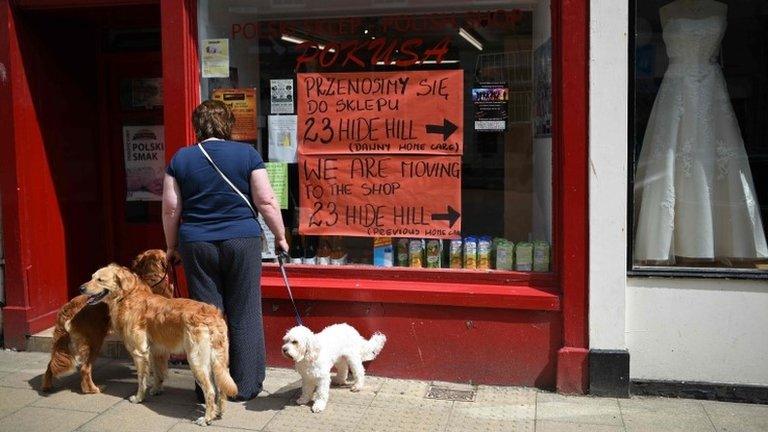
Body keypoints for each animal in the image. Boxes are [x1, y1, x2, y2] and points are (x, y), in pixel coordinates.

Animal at [43, 250, 174, 394]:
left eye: (99, 279)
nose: (81, 288)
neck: (152, 275)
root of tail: (70, 306)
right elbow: (159, 363)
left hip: (70, 344)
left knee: (51, 364)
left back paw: (47, 386)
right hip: (94, 341)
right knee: (85, 368)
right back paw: (93, 389)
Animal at [80, 264, 237, 426]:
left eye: (100, 279)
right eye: (91, 277)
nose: (81, 288)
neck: (128, 296)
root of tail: (211, 314)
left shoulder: (139, 353)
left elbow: (142, 380)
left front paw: (138, 398)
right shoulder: (157, 351)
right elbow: (158, 373)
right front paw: (156, 390)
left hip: (196, 361)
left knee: (211, 391)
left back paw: (206, 418)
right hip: (218, 361)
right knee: (221, 388)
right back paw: (218, 412)